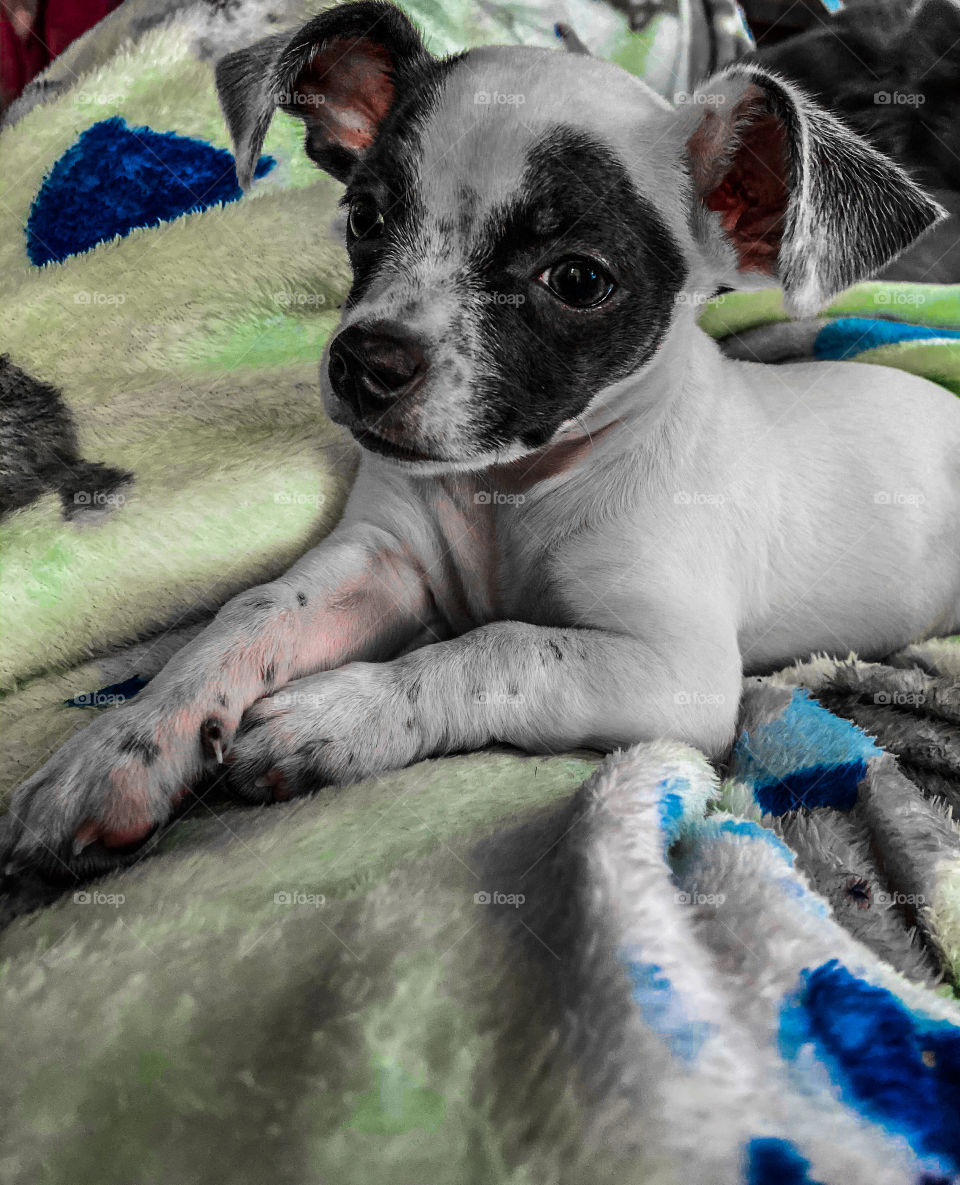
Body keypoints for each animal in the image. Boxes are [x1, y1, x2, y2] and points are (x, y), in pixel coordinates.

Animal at [1, 0, 957, 872]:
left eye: (578, 280)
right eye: (365, 218)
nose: (366, 362)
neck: (514, 487)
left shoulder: (674, 668)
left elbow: (498, 647)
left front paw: (341, 714)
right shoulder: (378, 562)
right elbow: (250, 617)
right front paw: (121, 745)